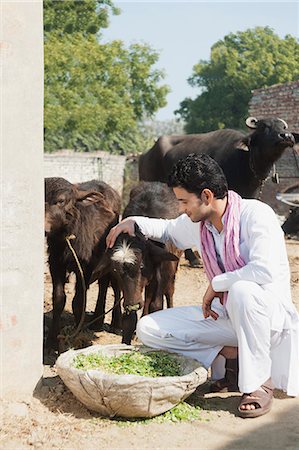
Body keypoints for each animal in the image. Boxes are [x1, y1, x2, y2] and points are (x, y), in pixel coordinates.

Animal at [44, 176, 120, 348]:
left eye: (61, 201)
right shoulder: (55, 264)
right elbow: (59, 299)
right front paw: (52, 340)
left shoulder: (86, 267)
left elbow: (78, 301)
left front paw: (78, 336)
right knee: (104, 284)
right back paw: (97, 321)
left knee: (113, 284)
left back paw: (115, 323)